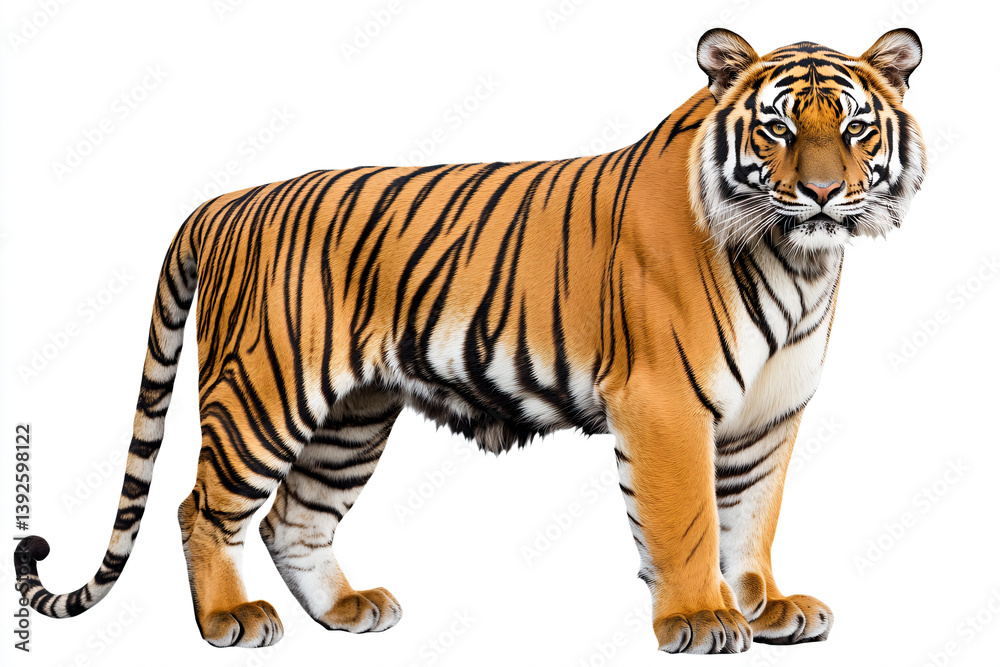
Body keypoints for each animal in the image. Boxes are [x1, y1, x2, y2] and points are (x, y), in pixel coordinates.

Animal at [15, 28, 926, 654]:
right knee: (201, 505)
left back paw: (346, 611)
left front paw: (766, 606)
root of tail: (228, 200)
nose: (822, 193)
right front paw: (702, 617)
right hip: (264, 394)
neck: (798, 258)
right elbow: (688, 519)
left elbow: (750, 519)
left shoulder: (768, 416)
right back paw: (229, 618)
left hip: (351, 416)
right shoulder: (665, 401)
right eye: (777, 131)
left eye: (854, 130)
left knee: (293, 517)